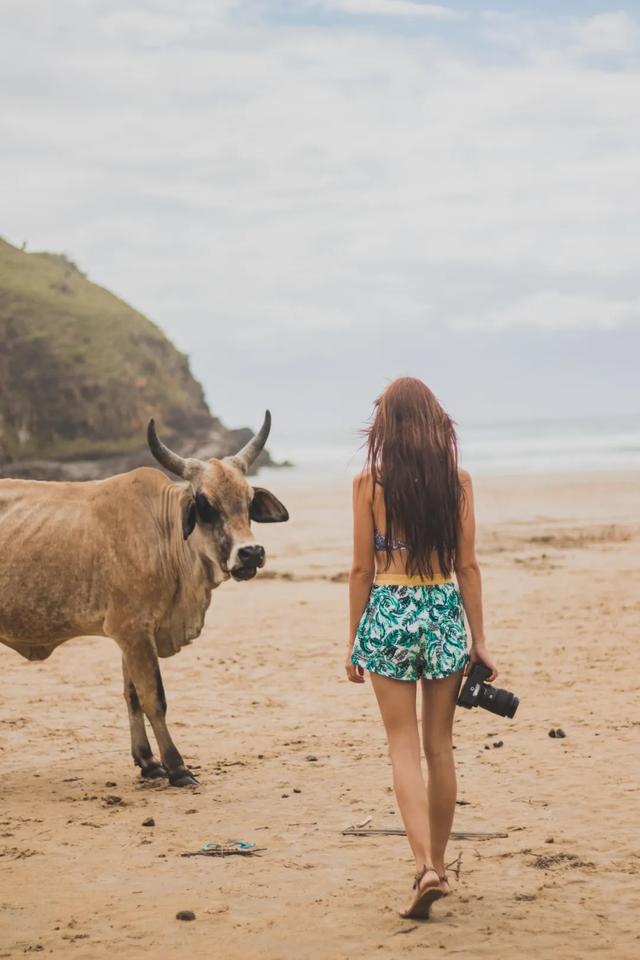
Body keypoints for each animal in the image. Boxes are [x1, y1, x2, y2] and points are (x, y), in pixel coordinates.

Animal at [0, 410, 288, 780]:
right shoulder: (133, 630)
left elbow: (132, 694)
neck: (164, 535)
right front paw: (177, 766)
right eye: (204, 504)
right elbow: (154, 698)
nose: (251, 553)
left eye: (249, 500)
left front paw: (148, 761)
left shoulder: (133, 634)